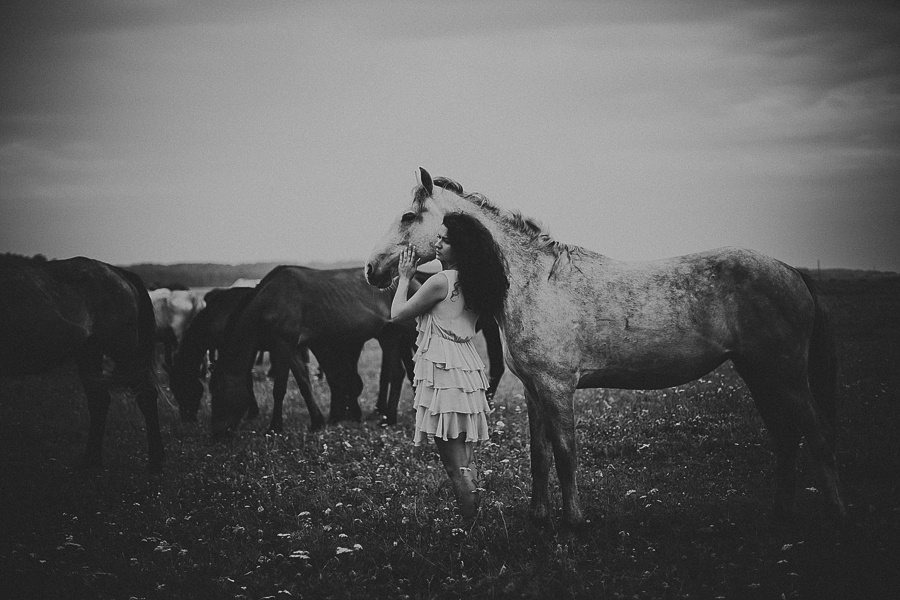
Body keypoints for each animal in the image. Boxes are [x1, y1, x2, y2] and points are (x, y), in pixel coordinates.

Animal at [0, 254, 164, 471]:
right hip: (90, 352)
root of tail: (118, 272)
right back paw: (91, 461)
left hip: (123, 350)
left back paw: (155, 461)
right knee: (99, 400)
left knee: (146, 395)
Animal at [208, 266, 418, 436]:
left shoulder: (282, 345)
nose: (217, 433)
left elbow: (279, 389)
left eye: (218, 393)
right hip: (388, 336)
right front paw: (317, 422)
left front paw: (275, 427)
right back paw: (389, 417)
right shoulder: (293, 348)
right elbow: (304, 383)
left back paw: (391, 418)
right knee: (398, 373)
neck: (272, 298)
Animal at [364, 167, 845, 527]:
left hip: (785, 377)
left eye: (407, 216)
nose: (372, 269)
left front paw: (573, 521)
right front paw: (539, 517)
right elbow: (539, 455)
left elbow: (565, 453)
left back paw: (834, 515)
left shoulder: (557, 387)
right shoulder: (534, 391)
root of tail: (791, 272)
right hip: (760, 375)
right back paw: (780, 514)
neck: (532, 280)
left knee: (816, 437)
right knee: (787, 438)